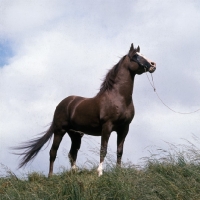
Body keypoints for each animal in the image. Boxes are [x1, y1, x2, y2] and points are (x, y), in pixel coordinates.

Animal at [13, 43, 156, 177]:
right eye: (136, 56)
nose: (153, 65)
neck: (118, 97)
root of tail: (63, 104)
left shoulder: (124, 128)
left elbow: (119, 151)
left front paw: (118, 172)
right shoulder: (107, 126)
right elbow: (103, 149)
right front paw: (100, 172)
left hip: (75, 134)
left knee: (72, 153)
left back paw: (74, 173)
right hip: (59, 130)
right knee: (53, 152)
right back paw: (51, 176)